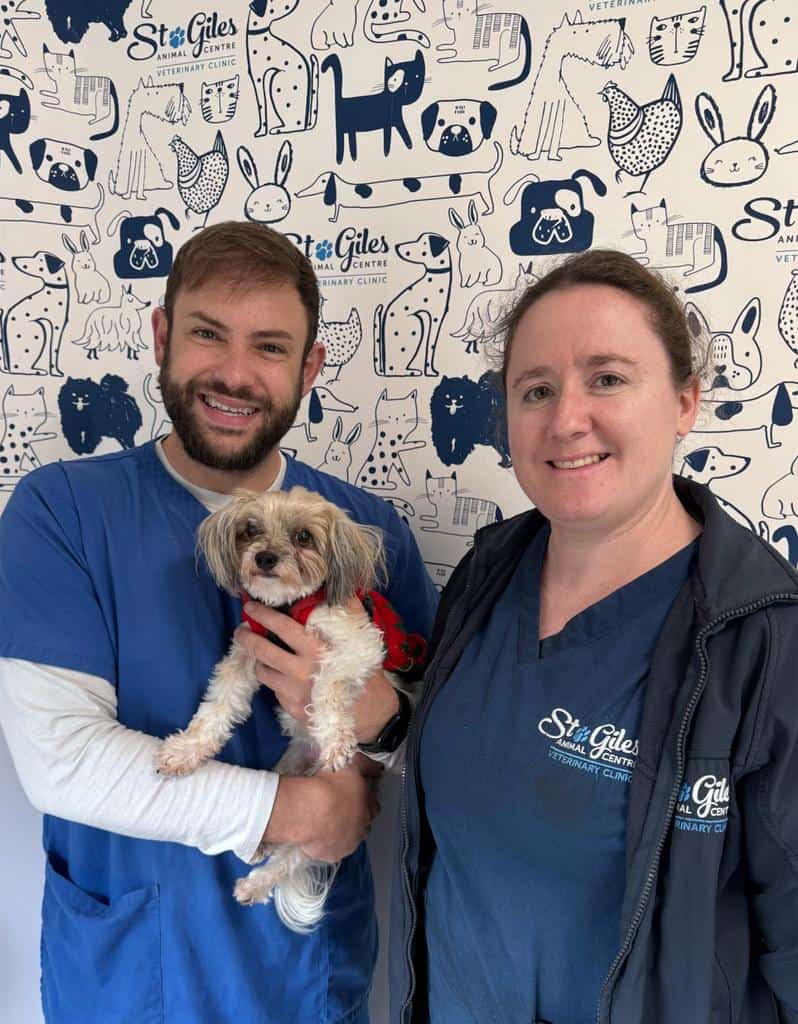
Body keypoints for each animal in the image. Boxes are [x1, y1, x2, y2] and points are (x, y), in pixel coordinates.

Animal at [155, 486, 416, 930]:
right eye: (250, 530)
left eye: (304, 537)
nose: (264, 558)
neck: (286, 608)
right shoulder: (246, 651)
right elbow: (217, 706)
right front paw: (186, 750)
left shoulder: (357, 645)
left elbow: (327, 684)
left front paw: (336, 739)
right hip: (288, 769)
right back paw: (261, 846)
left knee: (293, 857)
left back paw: (256, 884)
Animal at [246, 0, 319, 137]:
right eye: (272, 1)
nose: (297, 1)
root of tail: (306, 124)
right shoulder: (258, 76)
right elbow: (262, 105)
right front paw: (262, 131)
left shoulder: (258, 77)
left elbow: (261, 105)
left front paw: (261, 131)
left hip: (277, 83)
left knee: (295, 126)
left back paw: (279, 129)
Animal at [296, 141, 503, 223]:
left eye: (322, 181)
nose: (297, 193)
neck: (340, 186)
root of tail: (484, 174)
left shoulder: (338, 203)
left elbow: (335, 210)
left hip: (483, 192)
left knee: (491, 203)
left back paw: (488, 211)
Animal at [374, 233, 452, 378]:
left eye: (422, 243)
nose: (397, 246)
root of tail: (384, 370)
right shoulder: (435, 318)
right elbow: (431, 346)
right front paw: (430, 371)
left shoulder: (436, 318)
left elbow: (430, 346)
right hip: (416, 325)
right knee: (394, 370)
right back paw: (412, 372)